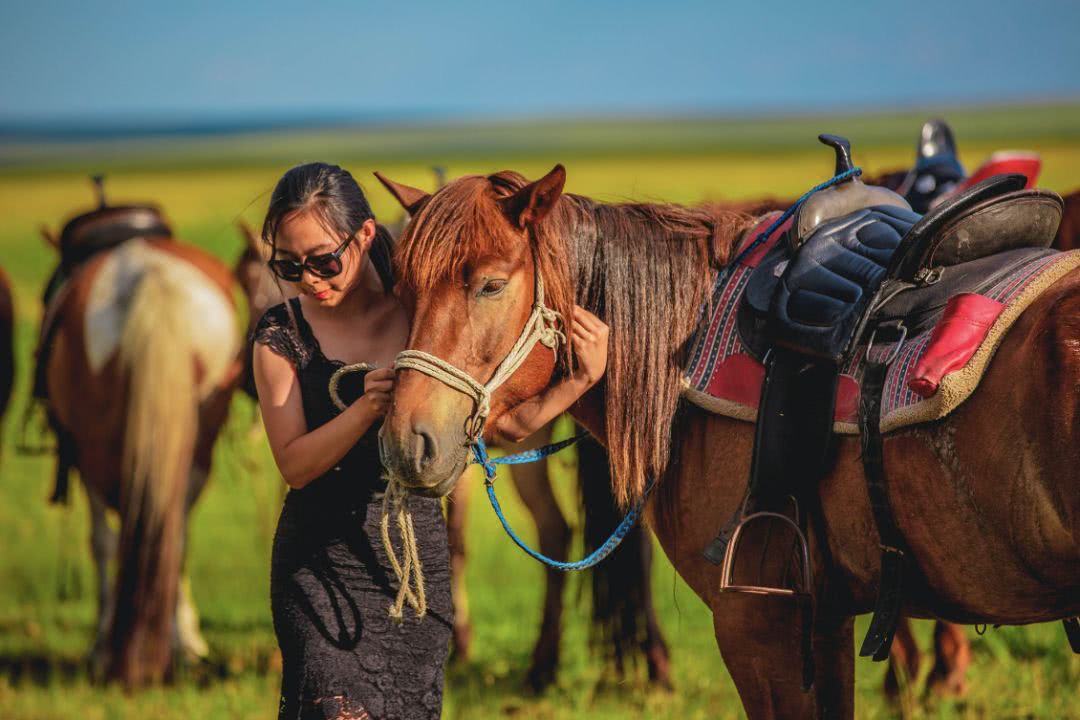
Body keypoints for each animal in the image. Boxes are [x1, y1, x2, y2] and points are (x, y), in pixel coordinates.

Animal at [42, 223, 242, 687]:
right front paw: (186, 640)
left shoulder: (85, 460)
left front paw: (100, 646)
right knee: (177, 532)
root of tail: (152, 279)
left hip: (95, 450)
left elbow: (101, 543)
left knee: (116, 537)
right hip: (197, 448)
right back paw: (178, 646)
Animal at [375, 164, 1080, 719]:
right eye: (400, 289)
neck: (683, 341)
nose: (409, 441)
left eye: (491, 284)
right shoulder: (821, 619)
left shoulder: (759, 622)